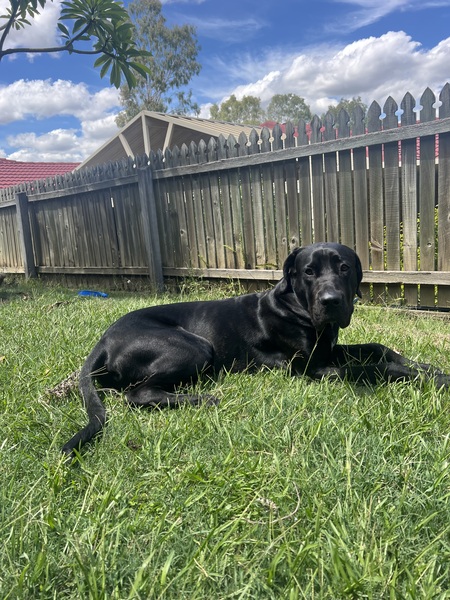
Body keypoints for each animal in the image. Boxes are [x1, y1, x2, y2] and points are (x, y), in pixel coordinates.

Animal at [62, 242, 450, 456]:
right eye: (309, 271)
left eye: (344, 267)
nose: (331, 301)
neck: (296, 306)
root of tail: (102, 341)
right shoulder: (309, 368)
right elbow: (377, 368)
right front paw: (433, 379)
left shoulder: (328, 352)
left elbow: (380, 349)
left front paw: (432, 368)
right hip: (195, 347)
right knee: (135, 395)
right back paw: (202, 399)